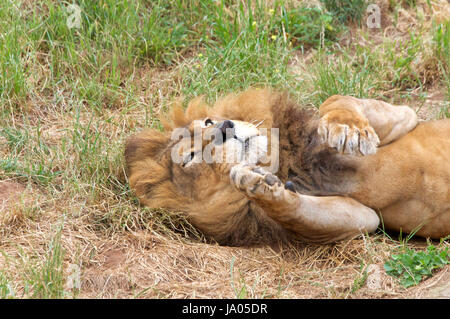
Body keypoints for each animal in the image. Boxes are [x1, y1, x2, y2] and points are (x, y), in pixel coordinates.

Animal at [124, 89, 450, 246]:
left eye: (207, 121)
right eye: (191, 157)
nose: (225, 127)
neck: (284, 164)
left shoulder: (405, 118)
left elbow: (336, 101)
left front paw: (349, 128)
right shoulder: (364, 218)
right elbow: (301, 211)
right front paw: (261, 188)